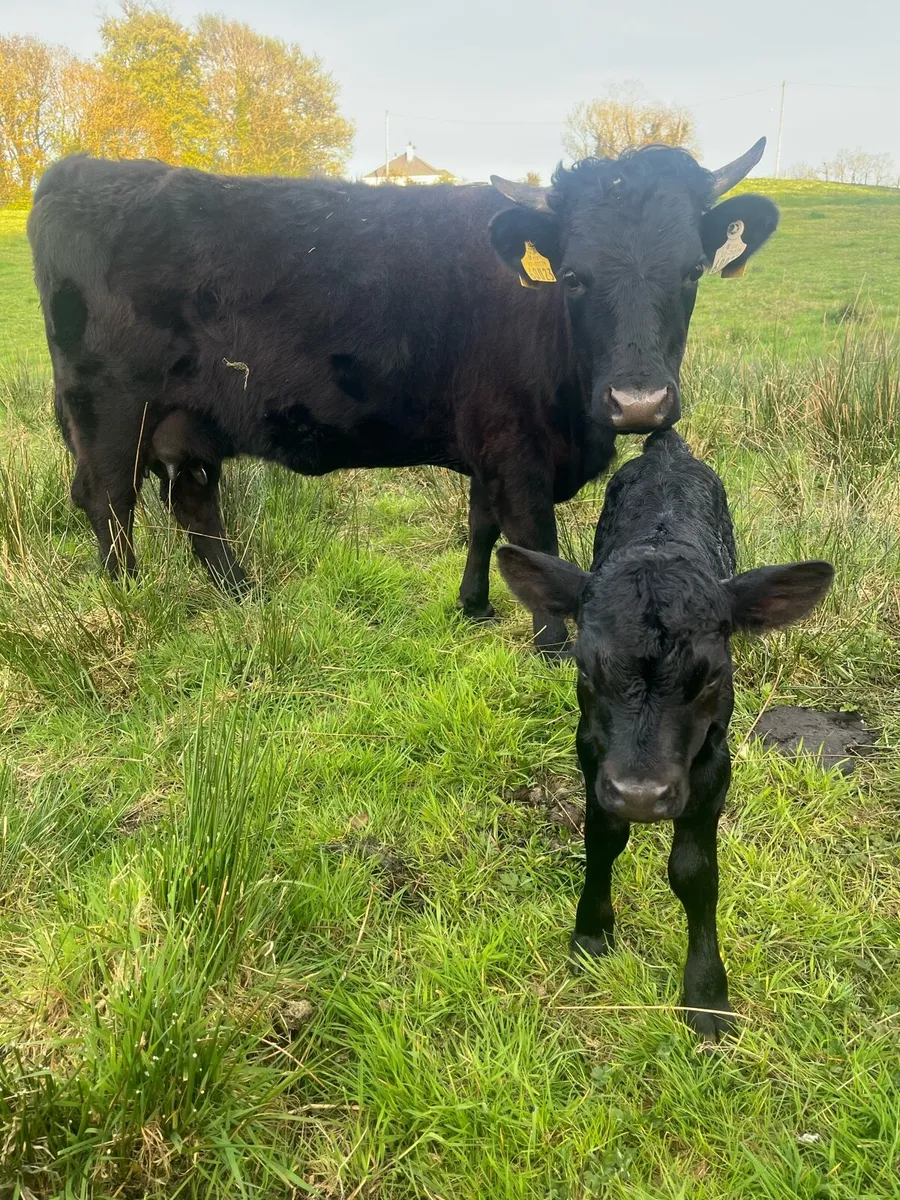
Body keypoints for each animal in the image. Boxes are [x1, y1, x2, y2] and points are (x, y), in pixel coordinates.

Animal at [27, 141, 778, 652]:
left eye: (691, 272)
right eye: (573, 276)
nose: (640, 402)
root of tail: (78, 172)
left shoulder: (488, 445)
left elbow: (482, 525)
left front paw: (474, 605)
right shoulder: (518, 449)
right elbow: (532, 537)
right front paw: (553, 645)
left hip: (189, 422)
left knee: (193, 503)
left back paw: (243, 593)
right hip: (109, 409)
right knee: (109, 501)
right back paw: (129, 603)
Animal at [496, 431, 833, 1039]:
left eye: (715, 675)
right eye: (586, 668)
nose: (641, 796)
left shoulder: (715, 762)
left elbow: (694, 872)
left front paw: (706, 996)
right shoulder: (591, 751)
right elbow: (602, 837)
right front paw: (591, 933)